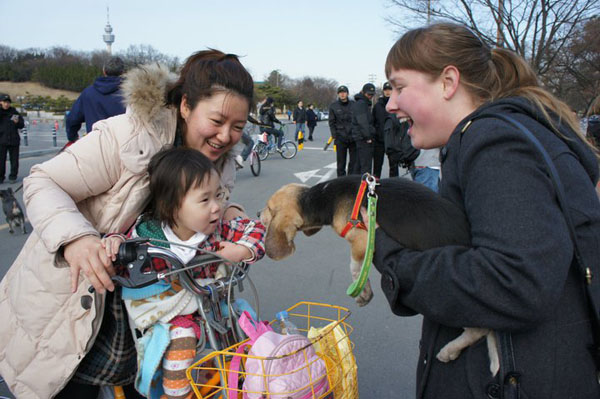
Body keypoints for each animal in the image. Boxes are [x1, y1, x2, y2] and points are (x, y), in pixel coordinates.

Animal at [262, 176, 502, 378]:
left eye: (269, 208)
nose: (257, 214)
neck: (324, 195)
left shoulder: (363, 237)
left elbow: (355, 266)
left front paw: (360, 290)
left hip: (449, 300)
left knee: (478, 330)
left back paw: (449, 350)